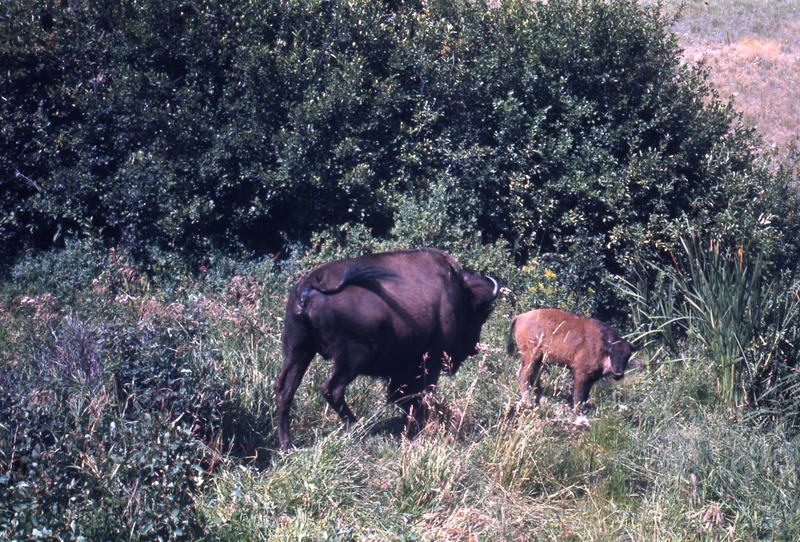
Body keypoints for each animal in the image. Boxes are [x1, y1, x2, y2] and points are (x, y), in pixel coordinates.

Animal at [506, 310, 644, 408]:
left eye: (628, 355)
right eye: (611, 353)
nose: (618, 374)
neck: (603, 344)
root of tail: (520, 317)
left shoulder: (591, 378)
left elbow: (585, 395)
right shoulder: (581, 373)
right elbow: (579, 394)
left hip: (538, 358)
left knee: (533, 376)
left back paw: (541, 400)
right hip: (531, 355)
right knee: (524, 375)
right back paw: (528, 402)